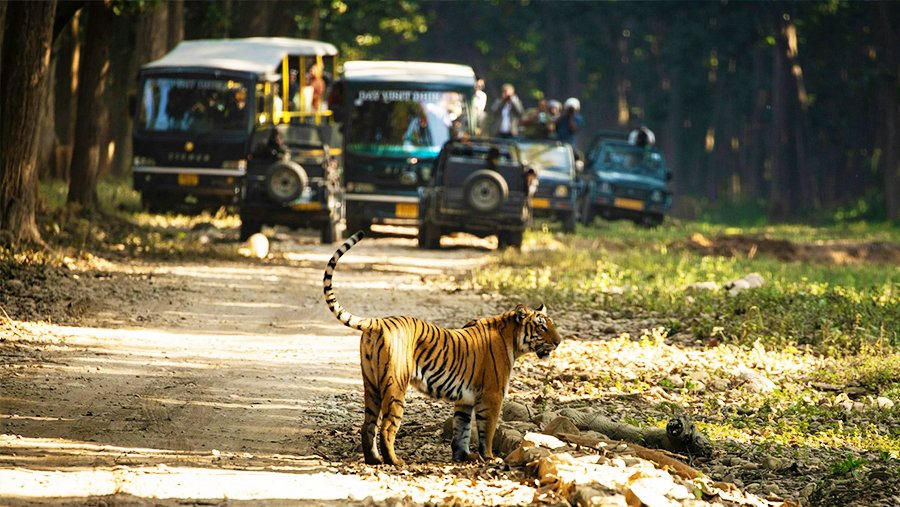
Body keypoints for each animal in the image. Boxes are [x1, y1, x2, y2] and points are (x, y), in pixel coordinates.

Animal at [323, 231, 562, 466]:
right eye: (542, 326)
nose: (559, 341)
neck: (512, 339)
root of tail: (378, 322)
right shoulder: (492, 395)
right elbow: (488, 430)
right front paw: (489, 457)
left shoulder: (465, 400)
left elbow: (462, 429)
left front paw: (463, 456)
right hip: (395, 385)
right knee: (388, 427)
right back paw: (395, 461)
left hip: (371, 383)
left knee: (368, 425)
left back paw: (374, 460)